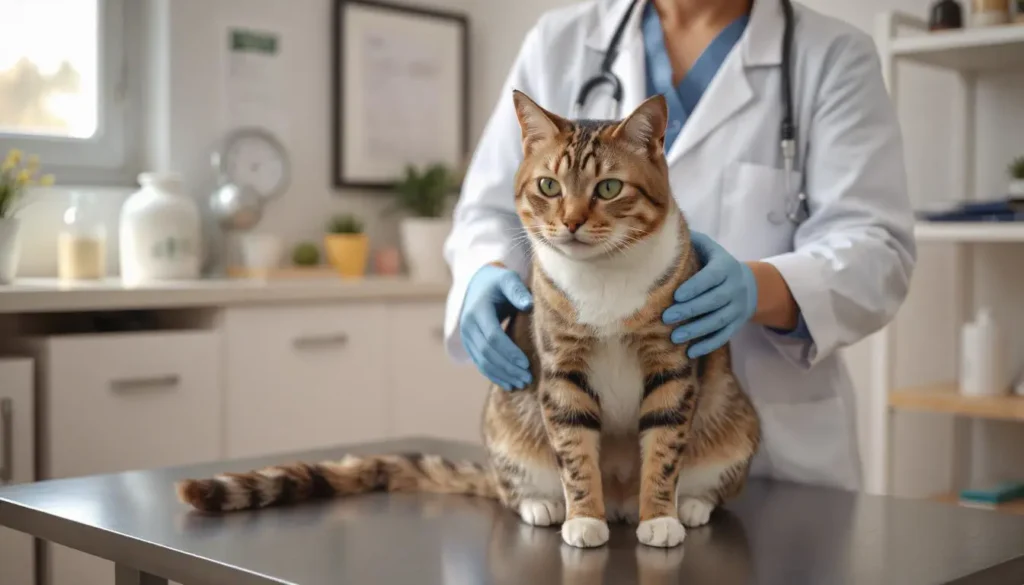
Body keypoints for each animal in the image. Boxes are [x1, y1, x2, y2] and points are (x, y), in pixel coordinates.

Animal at [174, 90, 761, 549]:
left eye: (610, 188)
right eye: (549, 186)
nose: (571, 222)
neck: (605, 279)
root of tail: (620, 494)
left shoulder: (672, 363)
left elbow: (663, 447)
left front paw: (659, 516)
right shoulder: (561, 370)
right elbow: (574, 451)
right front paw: (583, 517)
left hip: (733, 418)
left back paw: (690, 505)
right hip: (507, 421)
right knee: (515, 484)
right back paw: (546, 505)